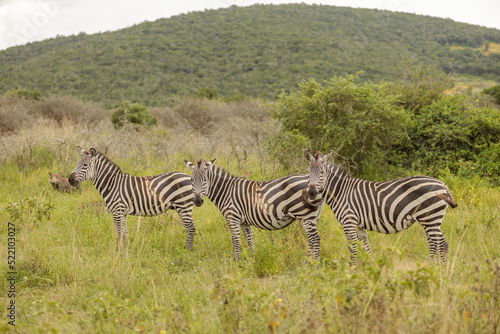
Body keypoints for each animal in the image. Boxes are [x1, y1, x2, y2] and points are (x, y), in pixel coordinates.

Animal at [67, 146, 196, 250]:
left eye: (85, 165)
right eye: (77, 163)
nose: (70, 180)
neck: (111, 184)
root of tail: (189, 176)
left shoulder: (117, 211)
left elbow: (118, 232)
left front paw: (117, 251)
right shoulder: (122, 212)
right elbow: (124, 232)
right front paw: (126, 249)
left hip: (183, 205)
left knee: (191, 228)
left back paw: (187, 250)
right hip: (182, 207)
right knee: (189, 227)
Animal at [184, 158, 324, 260]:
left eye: (204, 180)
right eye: (191, 180)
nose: (197, 201)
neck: (226, 190)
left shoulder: (232, 217)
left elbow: (236, 239)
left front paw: (237, 261)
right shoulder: (244, 222)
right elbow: (250, 240)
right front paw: (253, 258)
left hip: (304, 214)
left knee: (315, 238)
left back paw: (313, 263)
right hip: (312, 217)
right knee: (312, 239)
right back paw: (308, 260)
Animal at [300, 149, 458, 264]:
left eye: (322, 172)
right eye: (307, 172)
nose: (312, 192)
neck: (341, 192)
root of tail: (442, 183)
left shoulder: (349, 222)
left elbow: (353, 248)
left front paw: (352, 270)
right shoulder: (359, 225)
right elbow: (366, 248)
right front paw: (367, 269)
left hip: (431, 218)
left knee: (443, 245)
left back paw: (441, 271)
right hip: (429, 220)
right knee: (434, 244)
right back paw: (431, 267)